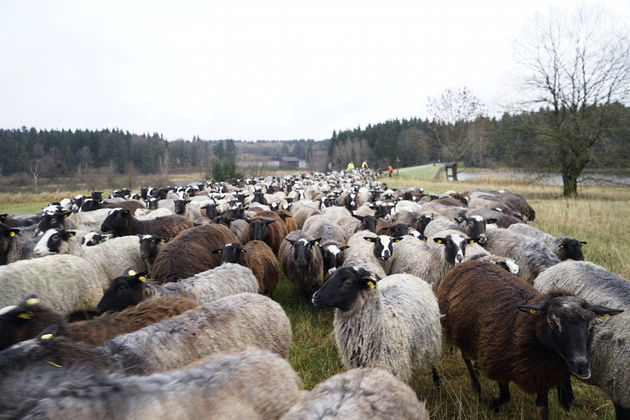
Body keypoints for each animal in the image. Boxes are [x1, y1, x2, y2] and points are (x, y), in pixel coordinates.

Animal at [312, 266, 442, 384]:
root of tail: (406, 275)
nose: (315, 297)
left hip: (431, 341)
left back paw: (437, 382)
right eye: (331, 276)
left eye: (347, 282)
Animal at [436, 260, 624, 418]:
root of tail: (471, 262)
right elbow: (505, 396)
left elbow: (542, 409)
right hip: (460, 332)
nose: (582, 364)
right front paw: (491, 406)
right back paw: (477, 389)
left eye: (591, 325)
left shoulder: (542, 374)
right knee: (466, 358)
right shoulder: (498, 364)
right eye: (552, 321)